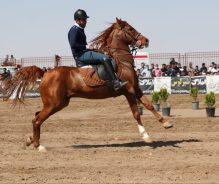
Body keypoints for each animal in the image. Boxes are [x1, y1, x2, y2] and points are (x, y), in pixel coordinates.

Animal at [2, 18, 172, 152]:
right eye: (130, 29)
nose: (146, 40)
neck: (121, 61)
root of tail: (45, 73)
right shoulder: (128, 90)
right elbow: (137, 112)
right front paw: (147, 134)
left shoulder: (135, 88)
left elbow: (148, 105)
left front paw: (165, 123)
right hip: (53, 104)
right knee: (37, 120)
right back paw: (39, 146)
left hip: (59, 103)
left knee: (37, 116)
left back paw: (31, 140)